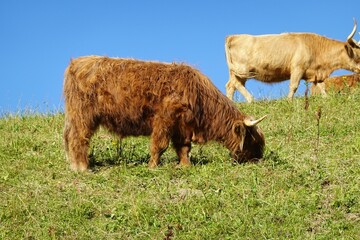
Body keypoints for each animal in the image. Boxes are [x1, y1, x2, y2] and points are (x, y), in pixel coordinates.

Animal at [63, 55, 266, 172]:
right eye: (253, 139)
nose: (258, 159)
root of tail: (76, 63)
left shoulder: (182, 126)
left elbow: (184, 148)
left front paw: (185, 165)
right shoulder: (164, 120)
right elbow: (159, 145)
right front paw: (153, 166)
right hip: (83, 115)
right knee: (78, 139)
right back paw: (82, 168)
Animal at [225, 18, 360, 101]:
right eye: (357, 55)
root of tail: (233, 36)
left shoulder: (316, 73)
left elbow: (322, 87)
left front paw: (326, 98)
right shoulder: (297, 68)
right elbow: (293, 86)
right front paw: (289, 101)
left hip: (237, 72)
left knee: (230, 86)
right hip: (242, 70)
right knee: (235, 84)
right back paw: (251, 100)